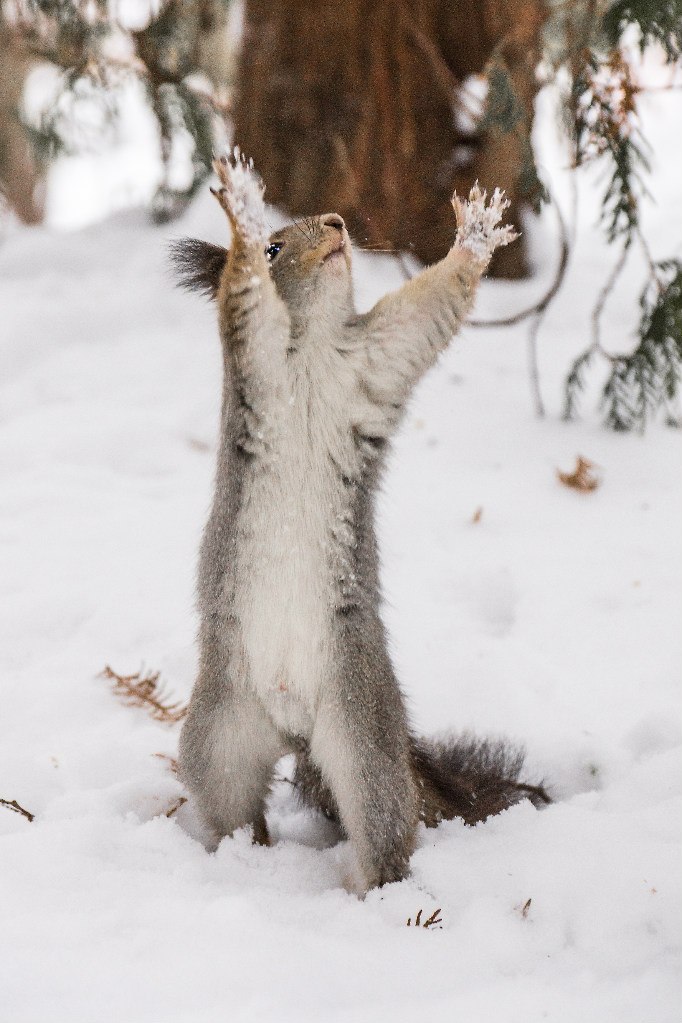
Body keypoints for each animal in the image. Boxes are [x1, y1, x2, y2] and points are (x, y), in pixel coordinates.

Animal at [171, 153, 548, 896]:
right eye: (276, 247)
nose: (339, 223)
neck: (314, 345)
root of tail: (292, 729)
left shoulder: (382, 354)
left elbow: (432, 304)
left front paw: (476, 236)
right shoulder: (256, 346)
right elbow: (245, 292)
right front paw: (243, 211)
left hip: (361, 729)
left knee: (380, 819)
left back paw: (375, 891)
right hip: (220, 733)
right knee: (231, 804)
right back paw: (242, 860)